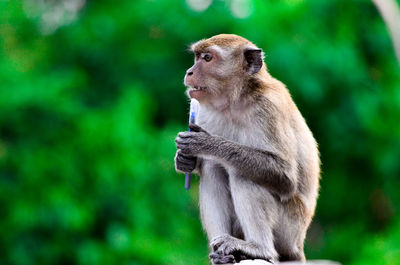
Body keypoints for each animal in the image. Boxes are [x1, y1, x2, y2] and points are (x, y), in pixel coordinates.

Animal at [173, 34, 320, 262]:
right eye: (197, 57)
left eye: (207, 58)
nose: (189, 72)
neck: (235, 100)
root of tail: (298, 245)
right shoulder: (201, 110)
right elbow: (204, 164)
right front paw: (183, 160)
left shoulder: (268, 109)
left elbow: (285, 177)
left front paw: (207, 144)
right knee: (213, 169)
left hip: (288, 228)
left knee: (243, 174)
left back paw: (258, 248)